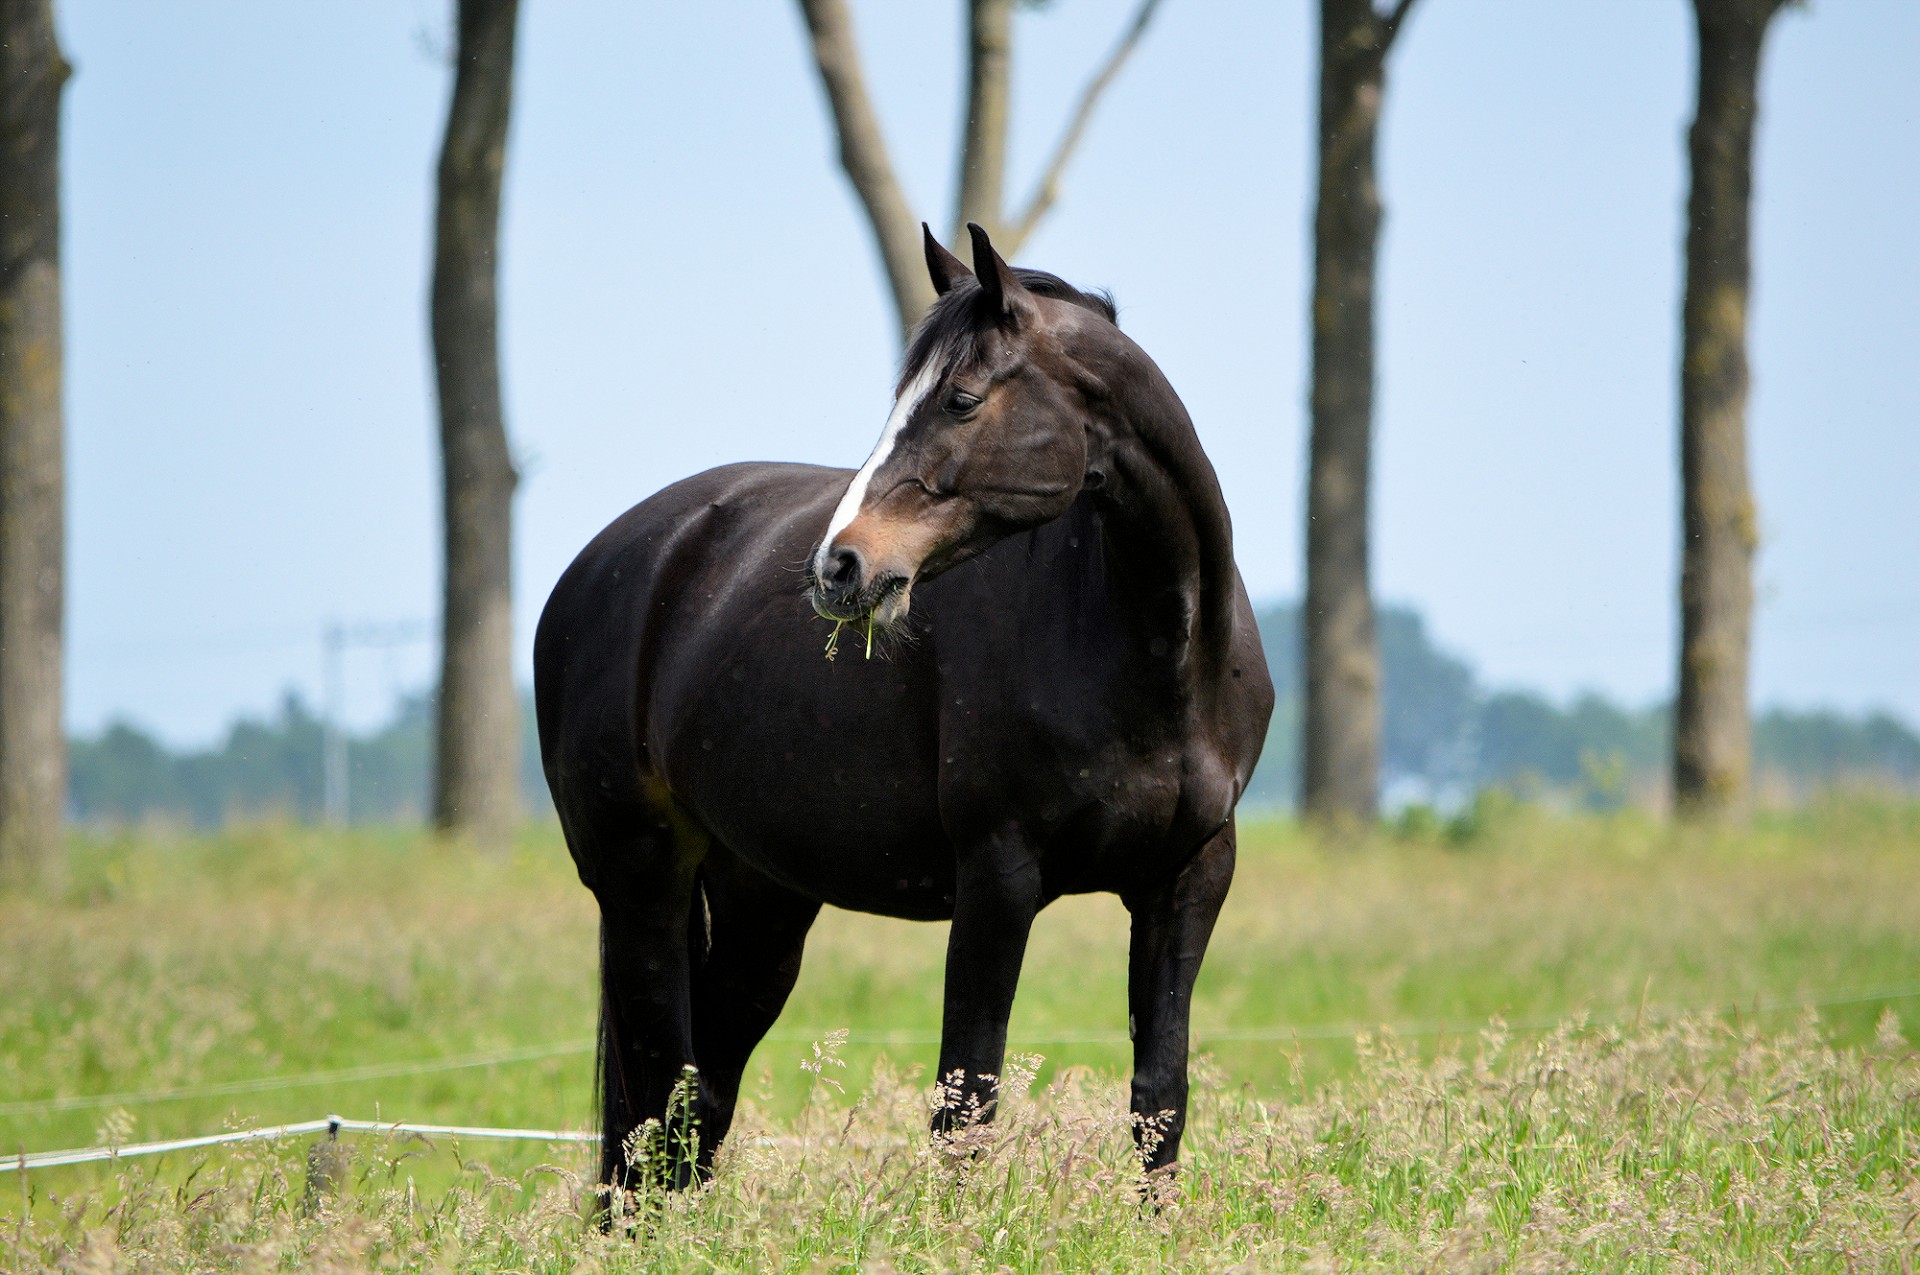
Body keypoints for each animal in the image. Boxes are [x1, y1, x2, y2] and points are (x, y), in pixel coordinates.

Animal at [533, 221, 1274, 1198]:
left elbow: (1159, 1103)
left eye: (960, 399)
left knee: (696, 1109)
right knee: (650, 1114)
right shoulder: (998, 877)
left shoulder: (1189, 876)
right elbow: (967, 1102)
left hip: (761, 900)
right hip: (640, 881)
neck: (1156, 650)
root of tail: (604, 567)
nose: (837, 566)